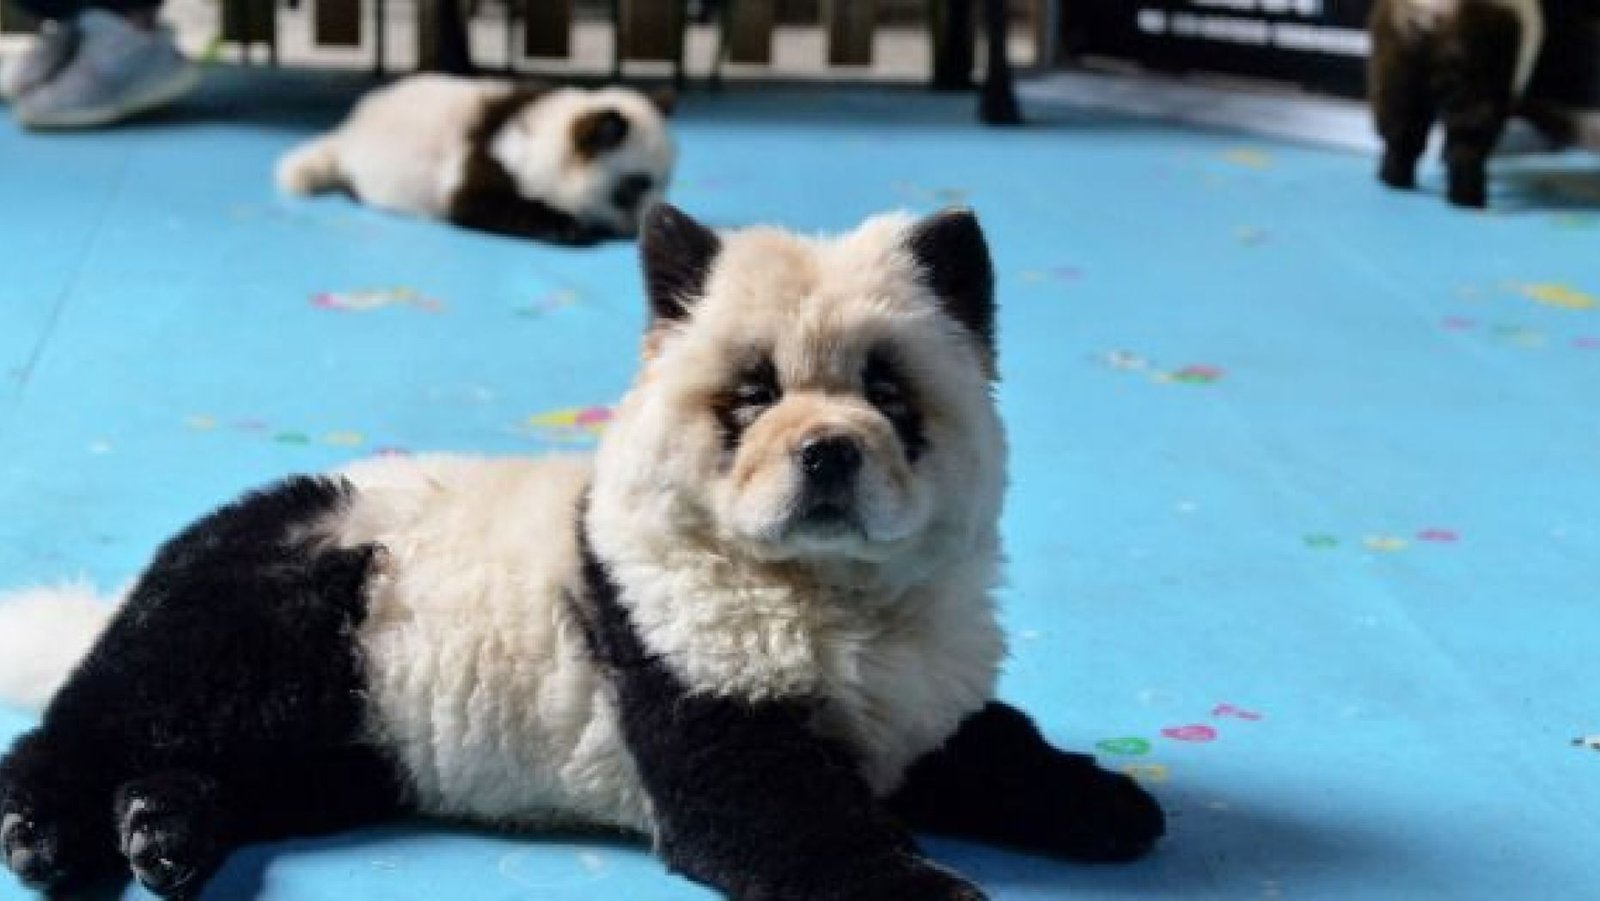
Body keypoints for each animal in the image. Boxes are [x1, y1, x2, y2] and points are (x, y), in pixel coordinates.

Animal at [0, 206, 1164, 901]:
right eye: (751, 395)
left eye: (889, 392)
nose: (830, 452)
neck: (825, 589)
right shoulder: (674, 647)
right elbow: (778, 811)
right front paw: (929, 887)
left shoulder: (923, 678)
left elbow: (985, 738)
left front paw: (1105, 802)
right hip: (286, 613)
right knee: (103, 715)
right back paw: (56, 831)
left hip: (353, 735)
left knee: (242, 765)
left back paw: (166, 824)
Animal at [275, 74, 675, 246]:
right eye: (636, 186)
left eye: (667, 181)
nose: (653, 221)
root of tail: (348, 130)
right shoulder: (485, 166)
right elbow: (480, 205)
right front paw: (566, 227)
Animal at [1369, 0, 1542, 208]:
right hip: (1474, 70)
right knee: (1465, 137)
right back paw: (1467, 196)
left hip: (1399, 61)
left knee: (1402, 129)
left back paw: (1396, 179)